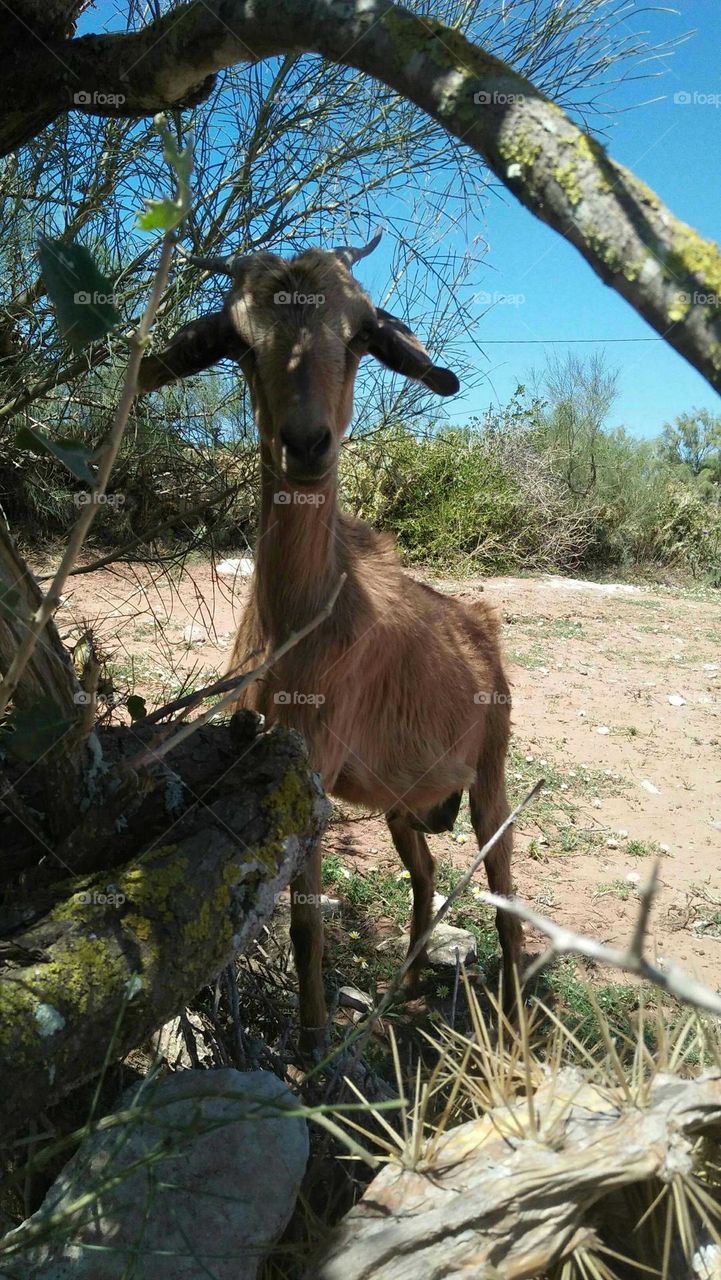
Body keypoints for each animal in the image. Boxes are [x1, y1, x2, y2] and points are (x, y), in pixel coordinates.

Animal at [139, 240, 525, 1049]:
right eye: (239, 342)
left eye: (360, 335)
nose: (307, 444)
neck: (301, 621)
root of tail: (481, 628)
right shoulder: (253, 754)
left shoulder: (311, 770)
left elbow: (304, 925)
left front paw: (314, 1043)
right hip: (405, 801)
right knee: (425, 876)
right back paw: (404, 982)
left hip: (490, 777)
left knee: (504, 890)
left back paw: (510, 1020)